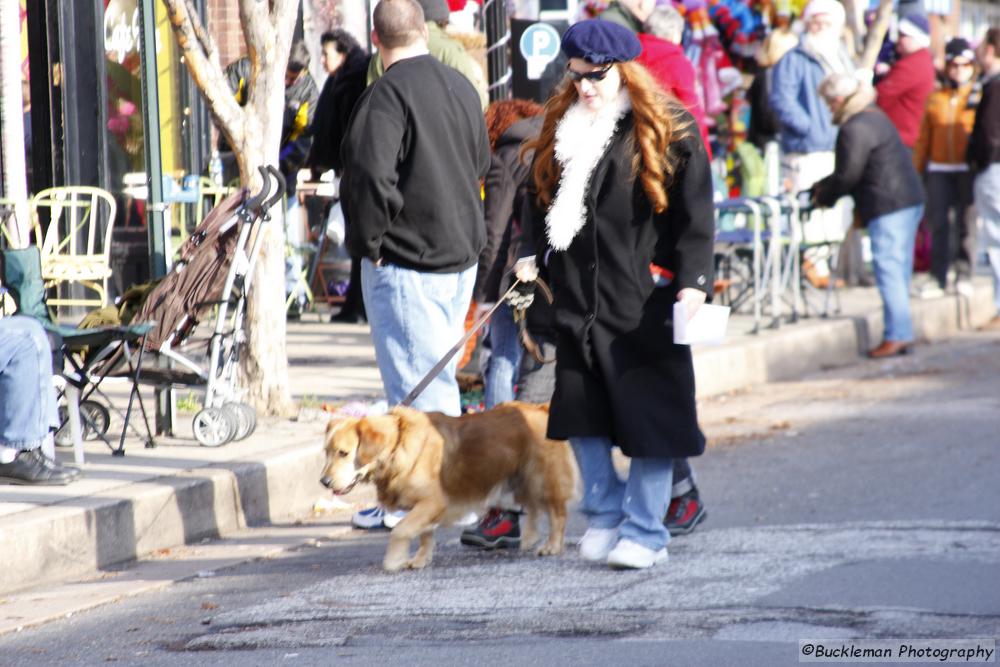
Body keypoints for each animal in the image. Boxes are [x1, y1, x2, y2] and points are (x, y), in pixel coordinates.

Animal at [320, 402, 580, 576]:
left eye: (343, 453)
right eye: (326, 452)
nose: (324, 482)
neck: (397, 446)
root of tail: (543, 409)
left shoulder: (433, 503)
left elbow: (400, 531)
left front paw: (394, 560)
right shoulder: (424, 507)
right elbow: (424, 535)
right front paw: (420, 559)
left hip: (542, 479)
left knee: (558, 514)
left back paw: (552, 545)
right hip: (519, 479)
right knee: (533, 509)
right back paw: (529, 538)